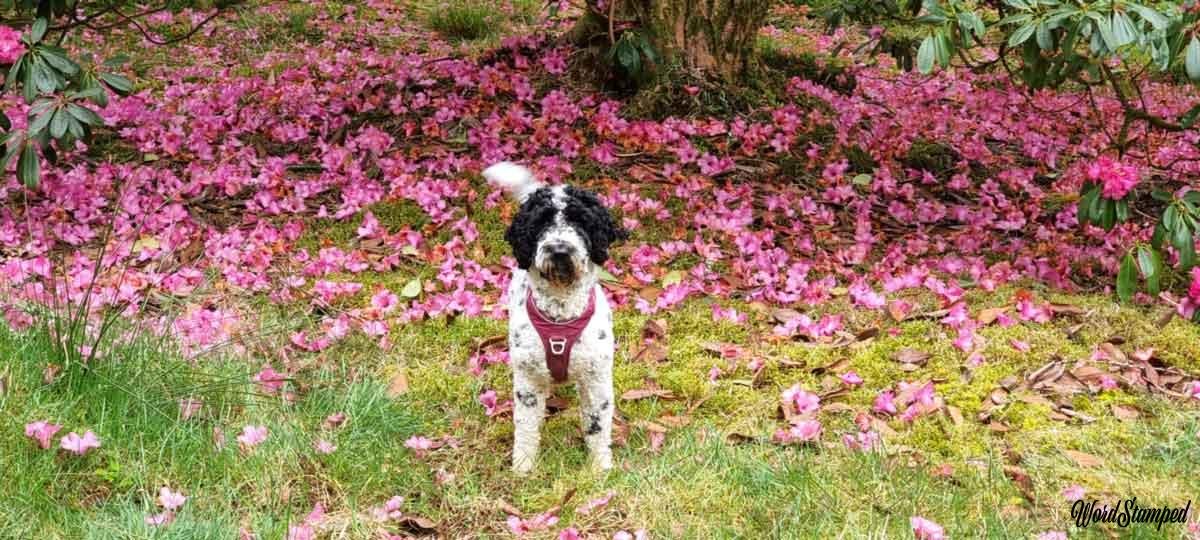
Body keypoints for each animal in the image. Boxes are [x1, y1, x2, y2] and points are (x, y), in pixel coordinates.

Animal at [482, 160, 628, 472]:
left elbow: (598, 426)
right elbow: (525, 427)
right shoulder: (527, 381)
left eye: (580, 221)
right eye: (541, 222)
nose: (560, 249)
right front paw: (523, 467)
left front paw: (599, 468)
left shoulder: (597, 379)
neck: (561, 314)